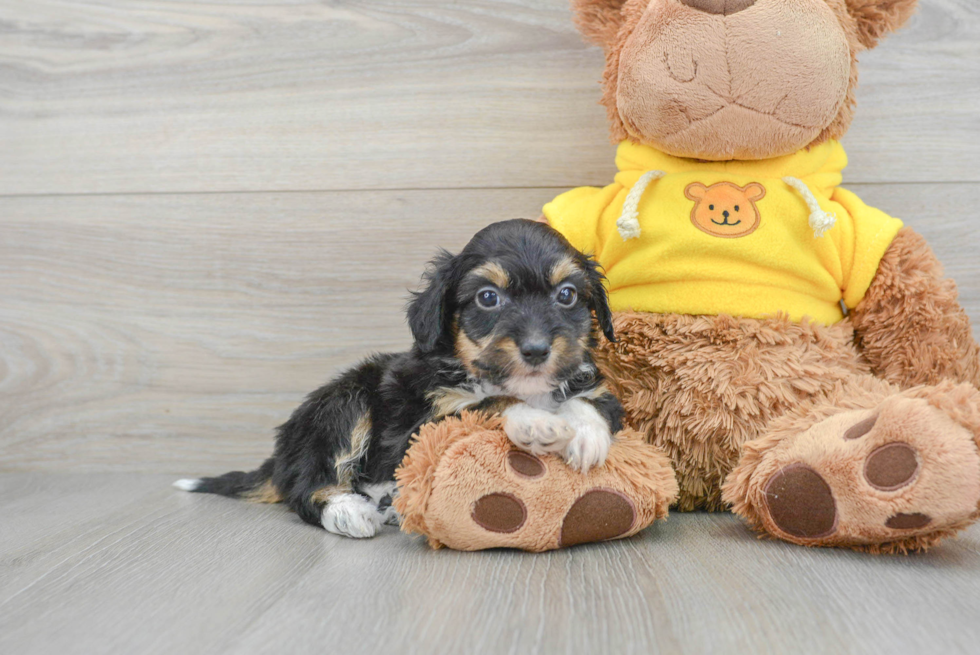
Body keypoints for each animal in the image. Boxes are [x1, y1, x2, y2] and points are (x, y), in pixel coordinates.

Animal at [173, 220, 624, 540]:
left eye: (567, 295)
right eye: (488, 298)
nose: (536, 349)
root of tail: (282, 454)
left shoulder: (597, 388)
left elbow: (586, 400)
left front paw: (587, 437)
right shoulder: (417, 428)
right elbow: (486, 403)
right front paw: (536, 420)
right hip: (344, 403)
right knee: (308, 487)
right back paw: (350, 511)